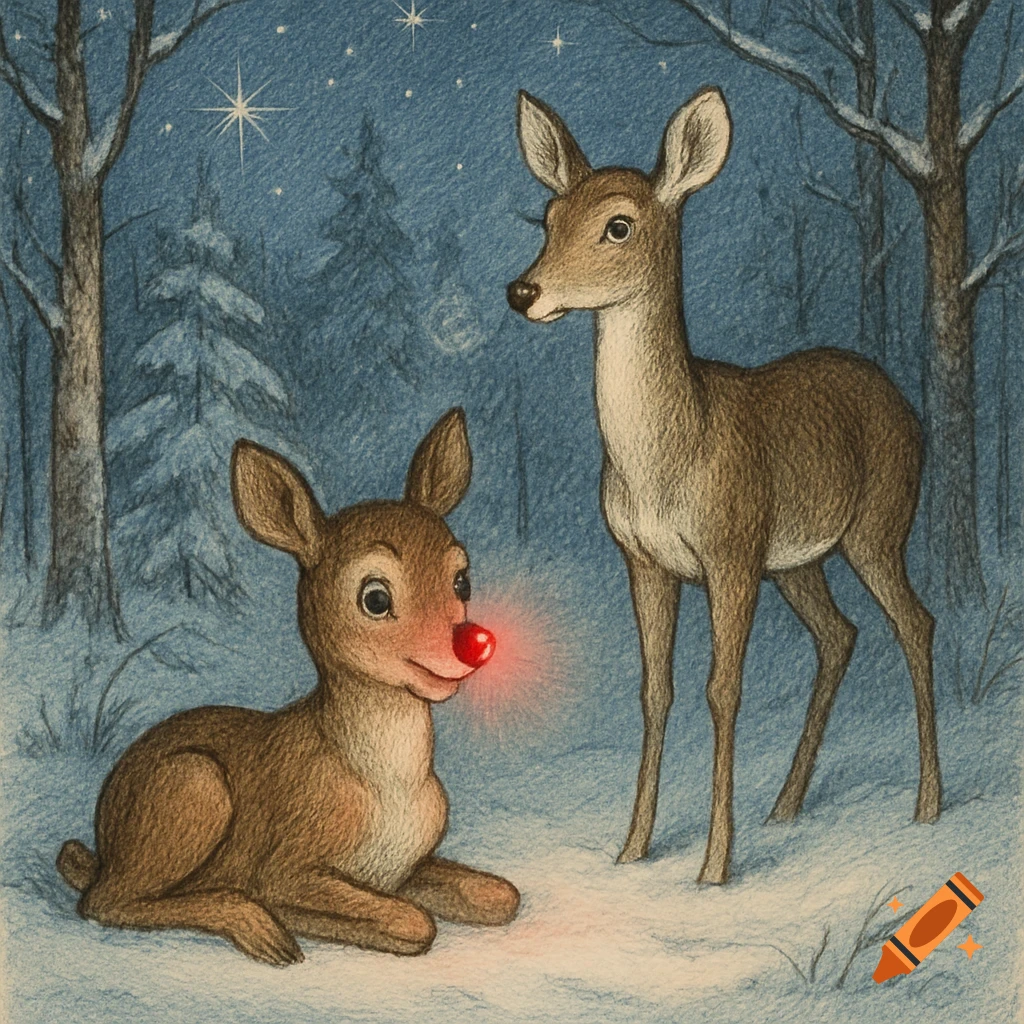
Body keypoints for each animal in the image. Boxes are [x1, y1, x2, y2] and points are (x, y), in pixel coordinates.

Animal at [56, 409, 520, 964]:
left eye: (461, 580)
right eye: (375, 597)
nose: (473, 644)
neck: (386, 783)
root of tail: (103, 841)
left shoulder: (403, 868)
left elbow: (499, 894)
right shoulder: (286, 866)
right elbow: (414, 922)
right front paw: (306, 920)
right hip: (193, 785)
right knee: (106, 902)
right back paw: (259, 927)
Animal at [507, 87, 940, 885]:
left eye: (619, 224)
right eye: (548, 216)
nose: (524, 291)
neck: (670, 455)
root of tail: (900, 397)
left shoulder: (730, 553)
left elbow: (722, 690)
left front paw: (713, 866)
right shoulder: (645, 561)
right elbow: (655, 692)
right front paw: (632, 848)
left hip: (877, 527)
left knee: (915, 624)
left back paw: (927, 804)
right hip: (798, 561)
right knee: (840, 635)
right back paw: (786, 806)